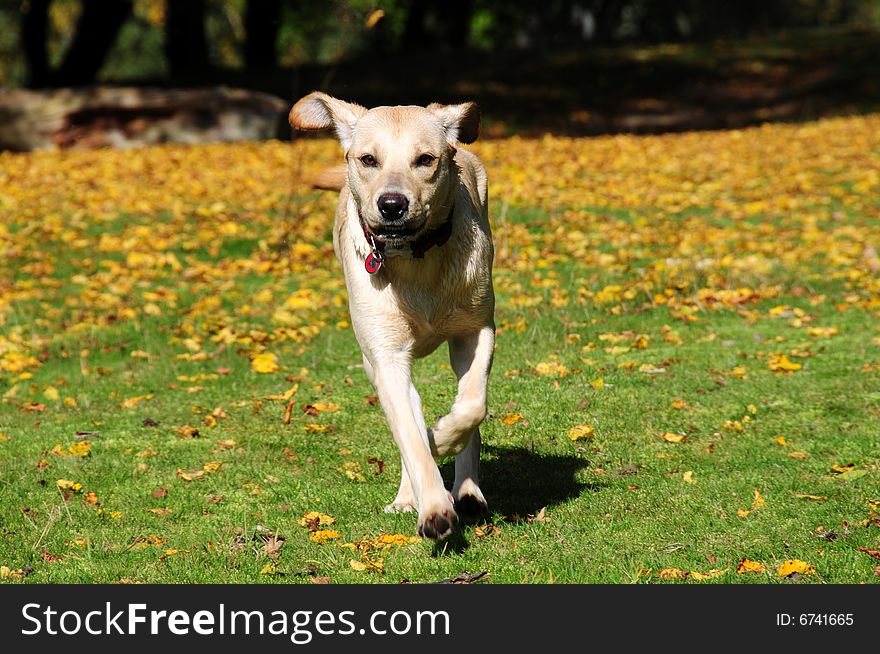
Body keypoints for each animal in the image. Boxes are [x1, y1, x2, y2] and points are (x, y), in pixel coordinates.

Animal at [288, 93, 496, 544]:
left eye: (425, 159)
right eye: (368, 159)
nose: (392, 205)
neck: (416, 261)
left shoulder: (477, 331)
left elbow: (472, 406)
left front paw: (444, 439)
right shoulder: (386, 357)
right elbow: (411, 437)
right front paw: (433, 508)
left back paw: (467, 489)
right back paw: (410, 495)